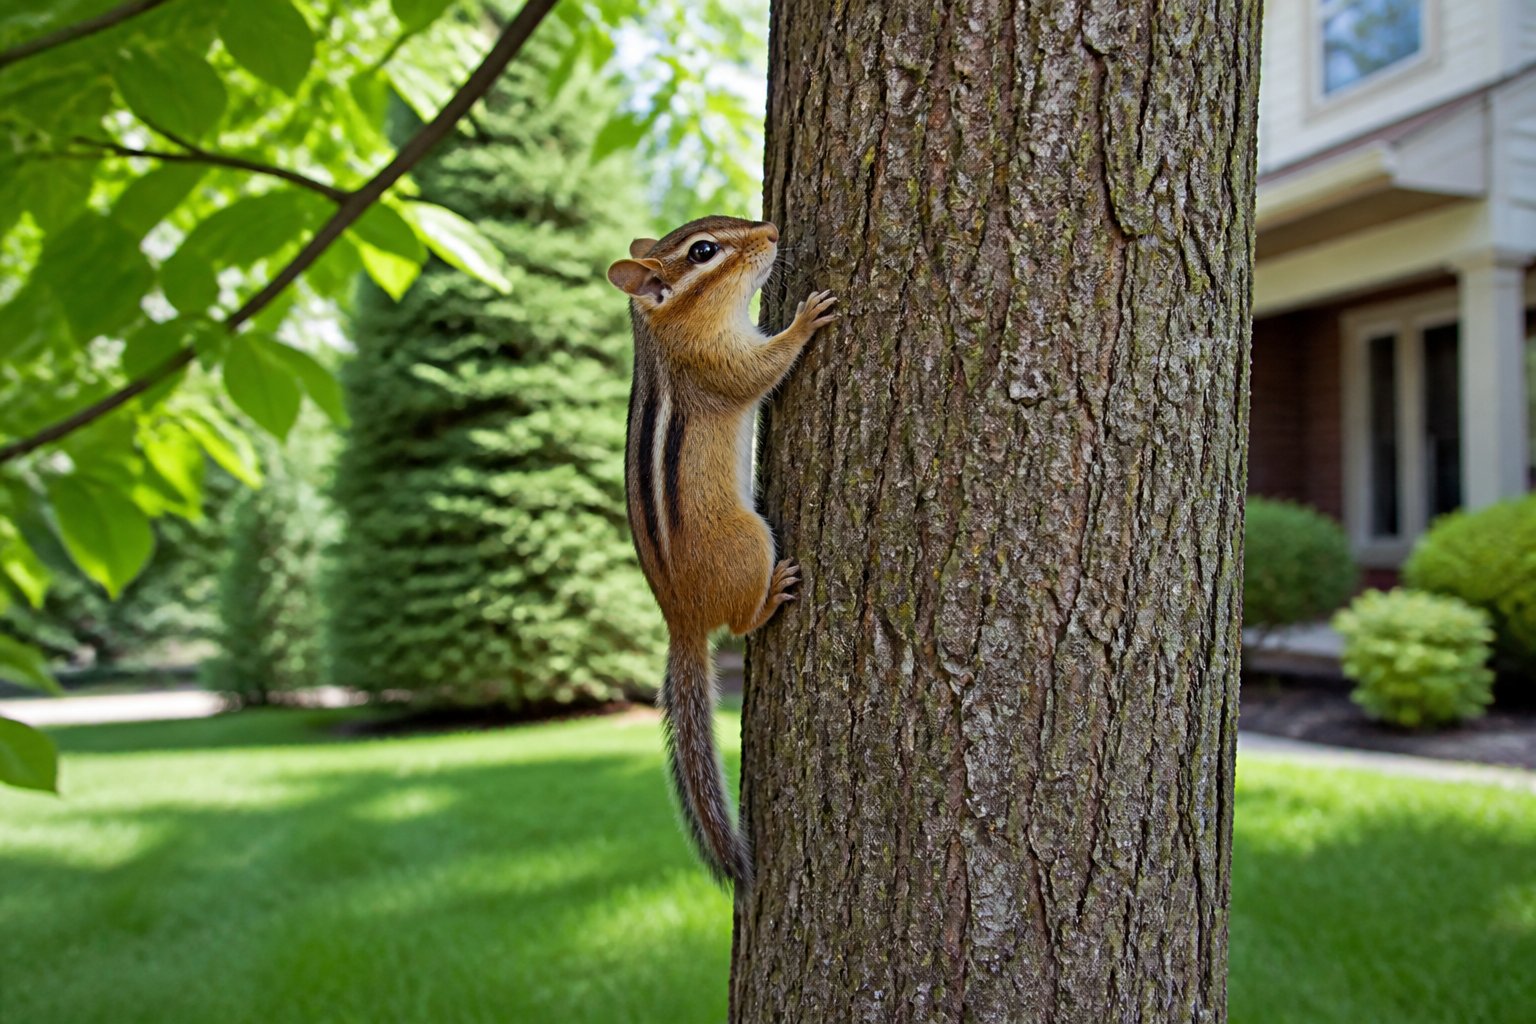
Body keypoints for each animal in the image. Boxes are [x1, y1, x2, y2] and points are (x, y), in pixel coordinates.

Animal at [606, 215, 837, 887]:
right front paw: (805, 320)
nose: (773, 229)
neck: (666, 330)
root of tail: (678, 618)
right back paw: (773, 595)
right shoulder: (717, 362)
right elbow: (762, 370)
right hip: (750, 540)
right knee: (738, 623)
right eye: (704, 251)